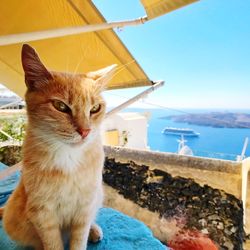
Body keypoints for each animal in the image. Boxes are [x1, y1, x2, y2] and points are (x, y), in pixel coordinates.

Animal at [2, 44, 115, 249]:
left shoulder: (85, 207)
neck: (68, 158)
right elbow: (53, 243)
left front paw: (87, 233)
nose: (85, 131)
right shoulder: (42, 213)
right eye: (60, 106)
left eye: (95, 108)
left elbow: (79, 238)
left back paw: (94, 230)